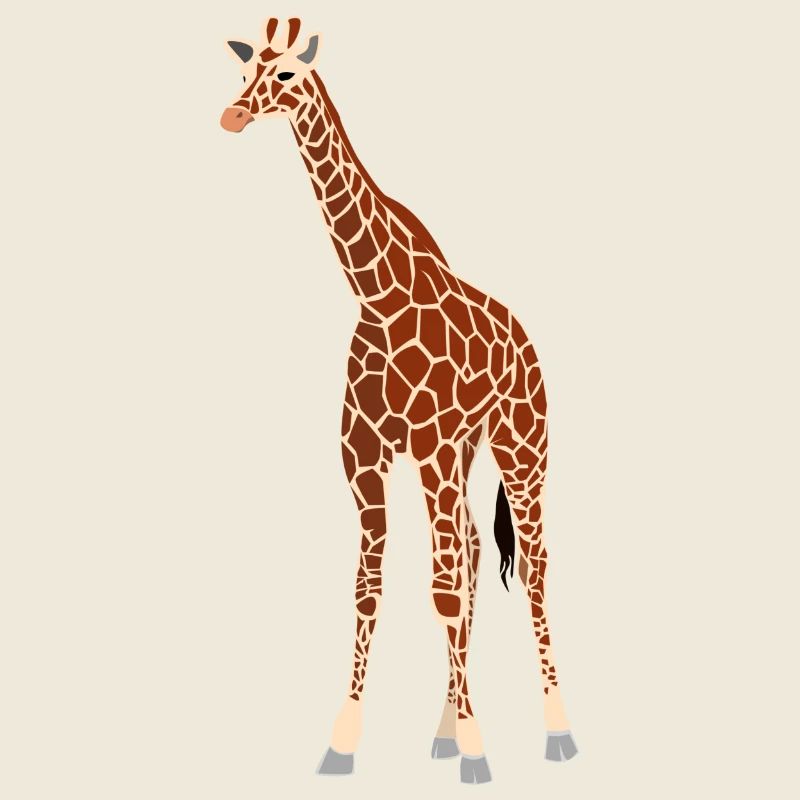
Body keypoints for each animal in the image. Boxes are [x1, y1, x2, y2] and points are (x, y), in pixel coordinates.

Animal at [220, 17, 578, 784]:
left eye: (286, 75)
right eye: (243, 70)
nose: (232, 116)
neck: (378, 297)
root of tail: (528, 340)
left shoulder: (432, 446)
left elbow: (441, 589)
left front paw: (478, 750)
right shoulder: (363, 455)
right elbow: (370, 586)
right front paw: (344, 742)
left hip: (521, 446)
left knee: (530, 565)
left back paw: (556, 730)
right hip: (464, 454)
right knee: (471, 548)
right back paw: (444, 729)